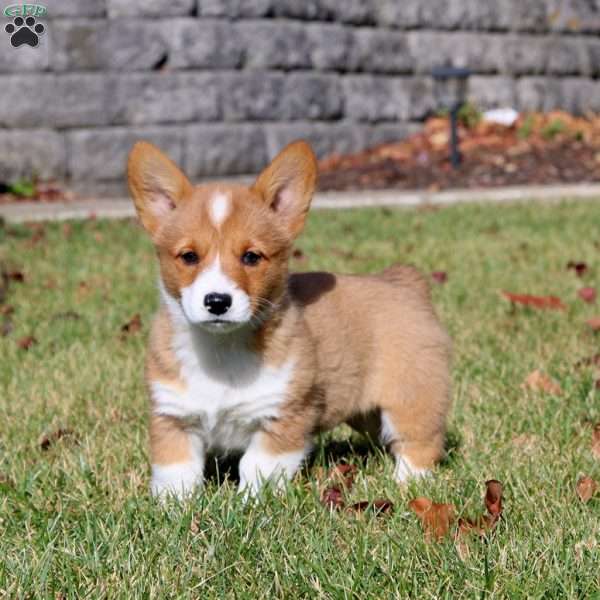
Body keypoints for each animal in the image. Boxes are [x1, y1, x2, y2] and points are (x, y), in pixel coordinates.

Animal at [127, 139, 450, 496]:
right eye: (188, 256)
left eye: (251, 257)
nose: (217, 302)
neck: (221, 350)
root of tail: (405, 282)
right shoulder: (174, 419)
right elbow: (176, 475)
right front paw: (173, 506)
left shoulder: (283, 419)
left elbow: (255, 469)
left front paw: (250, 503)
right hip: (366, 413)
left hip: (410, 398)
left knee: (420, 443)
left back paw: (406, 483)